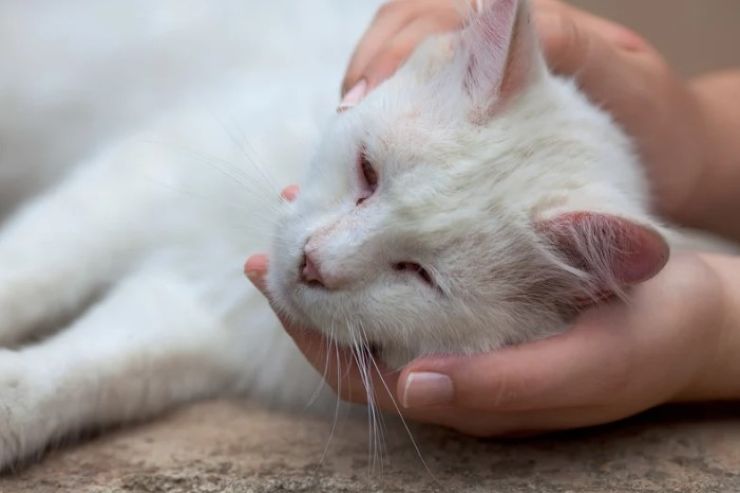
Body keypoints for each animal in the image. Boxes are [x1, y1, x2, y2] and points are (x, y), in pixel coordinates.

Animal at [0, 0, 728, 468]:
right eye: (368, 172)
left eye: (420, 274)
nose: (312, 263)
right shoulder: (128, 187)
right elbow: (29, 268)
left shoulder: (195, 317)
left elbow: (87, 370)